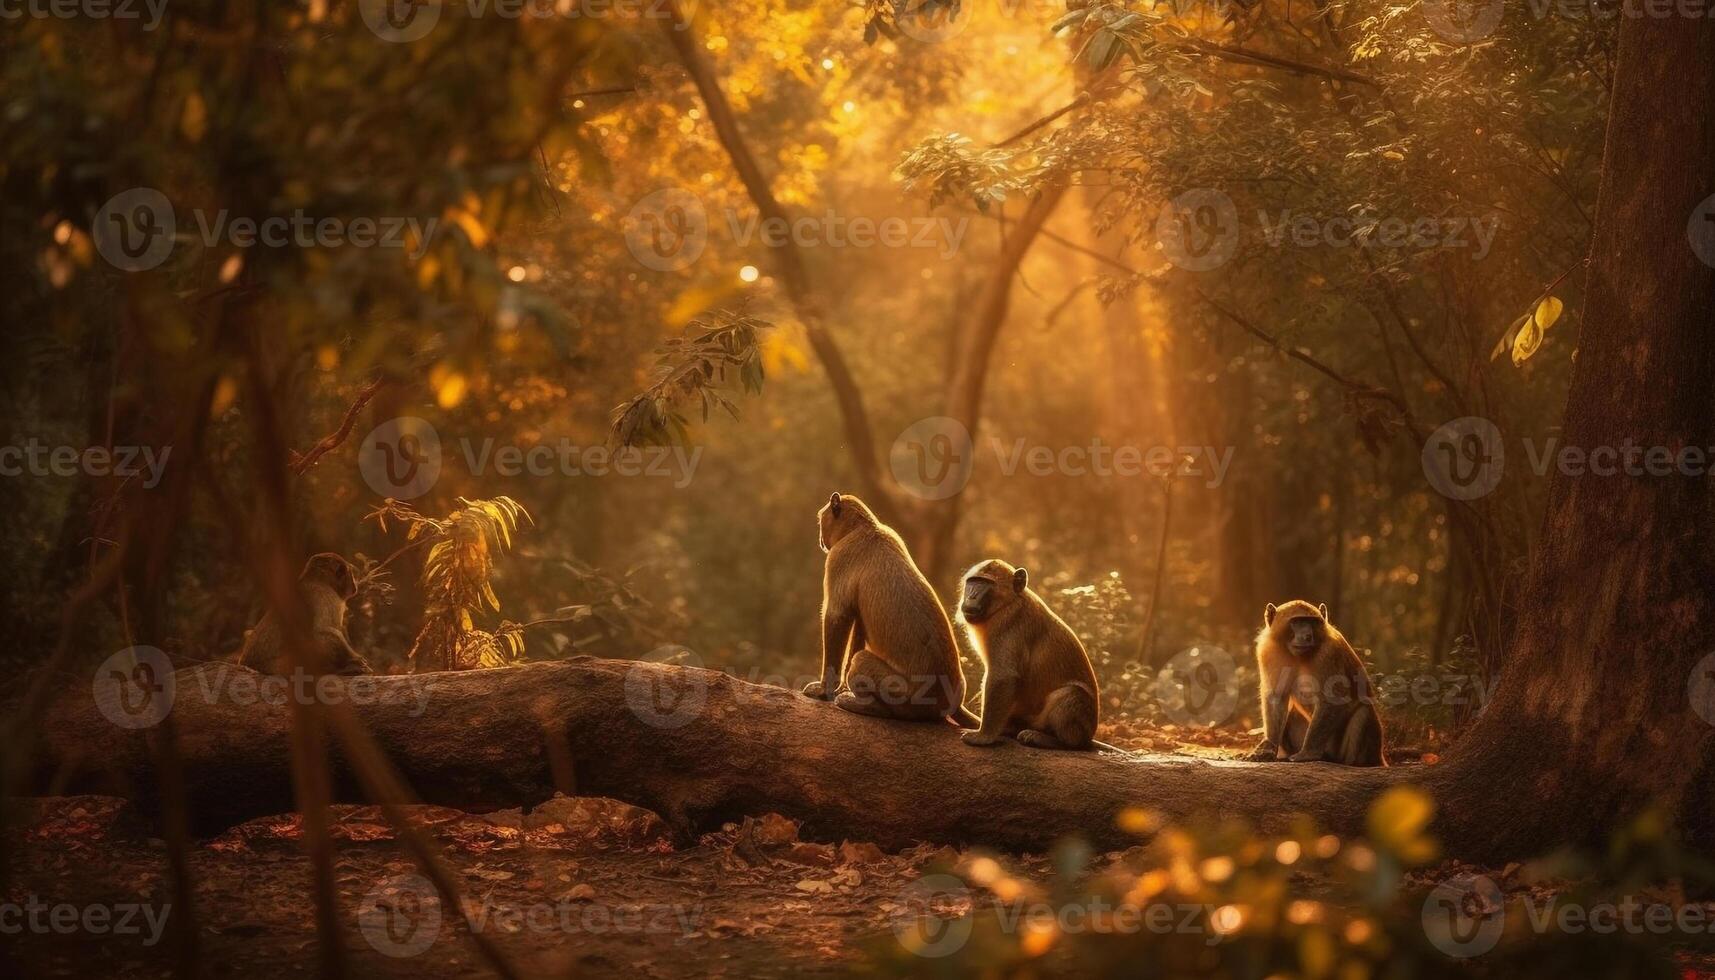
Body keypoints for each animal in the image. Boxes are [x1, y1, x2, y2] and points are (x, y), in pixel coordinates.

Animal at [238, 556, 372, 679]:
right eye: (351, 575)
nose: (355, 586)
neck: (319, 580)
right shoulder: (327, 597)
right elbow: (322, 632)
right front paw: (354, 660)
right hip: (283, 665)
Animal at [792, 494, 974, 724]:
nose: (820, 540)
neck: (864, 526)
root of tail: (949, 701)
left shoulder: (838, 561)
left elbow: (837, 619)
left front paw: (825, 691)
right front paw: (840, 689)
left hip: (901, 690)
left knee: (880, 691)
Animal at [960, 559, 1118, 751]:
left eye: (986, 583)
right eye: (973, 581)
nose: (971, 596)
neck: (1007, 602)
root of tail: (1088, 737)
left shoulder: (1009, 623)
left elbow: (1003, 676)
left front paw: (984, 737)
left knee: (1071, 694)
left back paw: (1056, 741)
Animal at [1255, 600, 1385, 772]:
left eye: (1312, 622)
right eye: (1297, 621)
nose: (1307, 636)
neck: (1299, 656)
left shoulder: (1329, 653)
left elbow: (1332, 699)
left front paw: (1308, 753)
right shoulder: (1269, 651)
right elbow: (1276, 697)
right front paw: (1269, 746)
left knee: (1362, 712)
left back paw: (1354, 763)